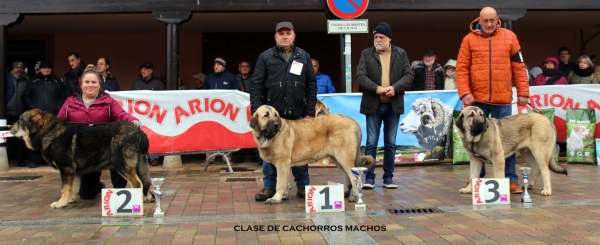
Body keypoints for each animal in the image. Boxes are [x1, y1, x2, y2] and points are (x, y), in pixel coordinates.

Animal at [10, 109, 156, 209]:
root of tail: (139, 132)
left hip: (121, 164)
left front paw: (60, 203)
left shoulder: (65, 168)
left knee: (137, 184)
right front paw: (69, 200)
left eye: (20, 121)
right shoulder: (74, 172)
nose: (10, 129)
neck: (48, 132)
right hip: (138, 164)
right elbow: (73, 188)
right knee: (148, 182)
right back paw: (149, 198)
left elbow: (64, 188)